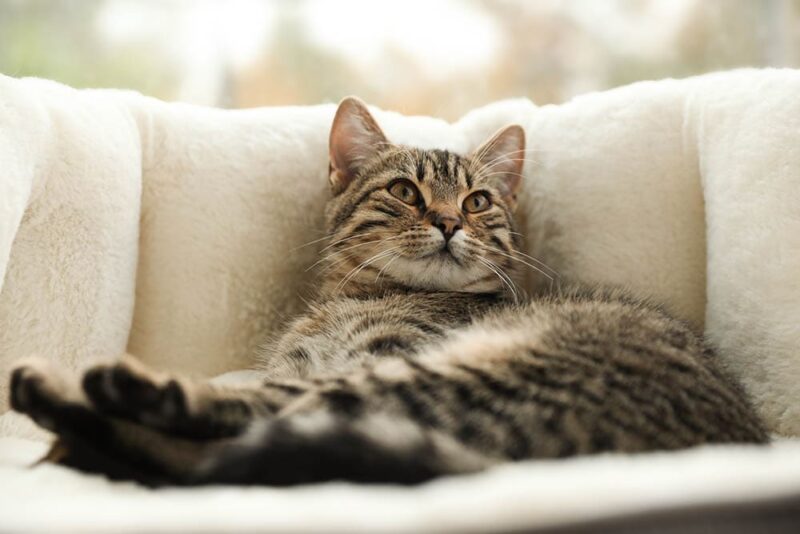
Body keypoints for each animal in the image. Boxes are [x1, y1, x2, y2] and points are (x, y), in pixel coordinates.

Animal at [7, 97, 768, 490]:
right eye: (405, 191)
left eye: (479, 200)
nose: (450, 220)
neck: (359, 301)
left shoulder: (373, 360)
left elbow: (250, 403)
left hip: (441, 379)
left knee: (225, 441)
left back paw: (75, 396)